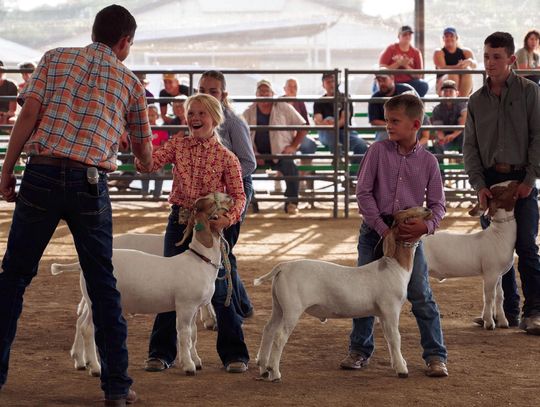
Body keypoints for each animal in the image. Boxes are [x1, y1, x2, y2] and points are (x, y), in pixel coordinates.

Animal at [48, 193, 230, 378]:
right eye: (211, 202)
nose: (230, 197)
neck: (200, 259)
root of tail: (82, 264)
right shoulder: (185, 305)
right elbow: (184, 335)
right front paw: (188, 365)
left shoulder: (195, 307)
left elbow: (193, 333)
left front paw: (196, 361)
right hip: (97, 299)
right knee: (88, 329)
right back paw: (95, 368)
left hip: (90, 299)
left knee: (82, 324)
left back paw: (81, 361)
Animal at [252, 207, 430, 382]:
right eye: (409, 218)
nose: (427, 209)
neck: (395, 266)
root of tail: (284, 266)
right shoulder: (390, 308)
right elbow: (395, 337)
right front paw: (402, 369)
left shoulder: (383, 313)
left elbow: (389, 337)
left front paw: (399, 363)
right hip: (292, 308)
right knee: (279, 336)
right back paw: (274, 372)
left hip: (278, 306)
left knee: (268, 330)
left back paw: (263, 369)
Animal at [426, 182, 520, 332]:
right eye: (502, 190)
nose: (517, 182)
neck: (499, 235)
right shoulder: (490, 272)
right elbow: (489, 296)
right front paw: (489, 322)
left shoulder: (498, 274)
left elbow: (500, 296)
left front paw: (503, 321)